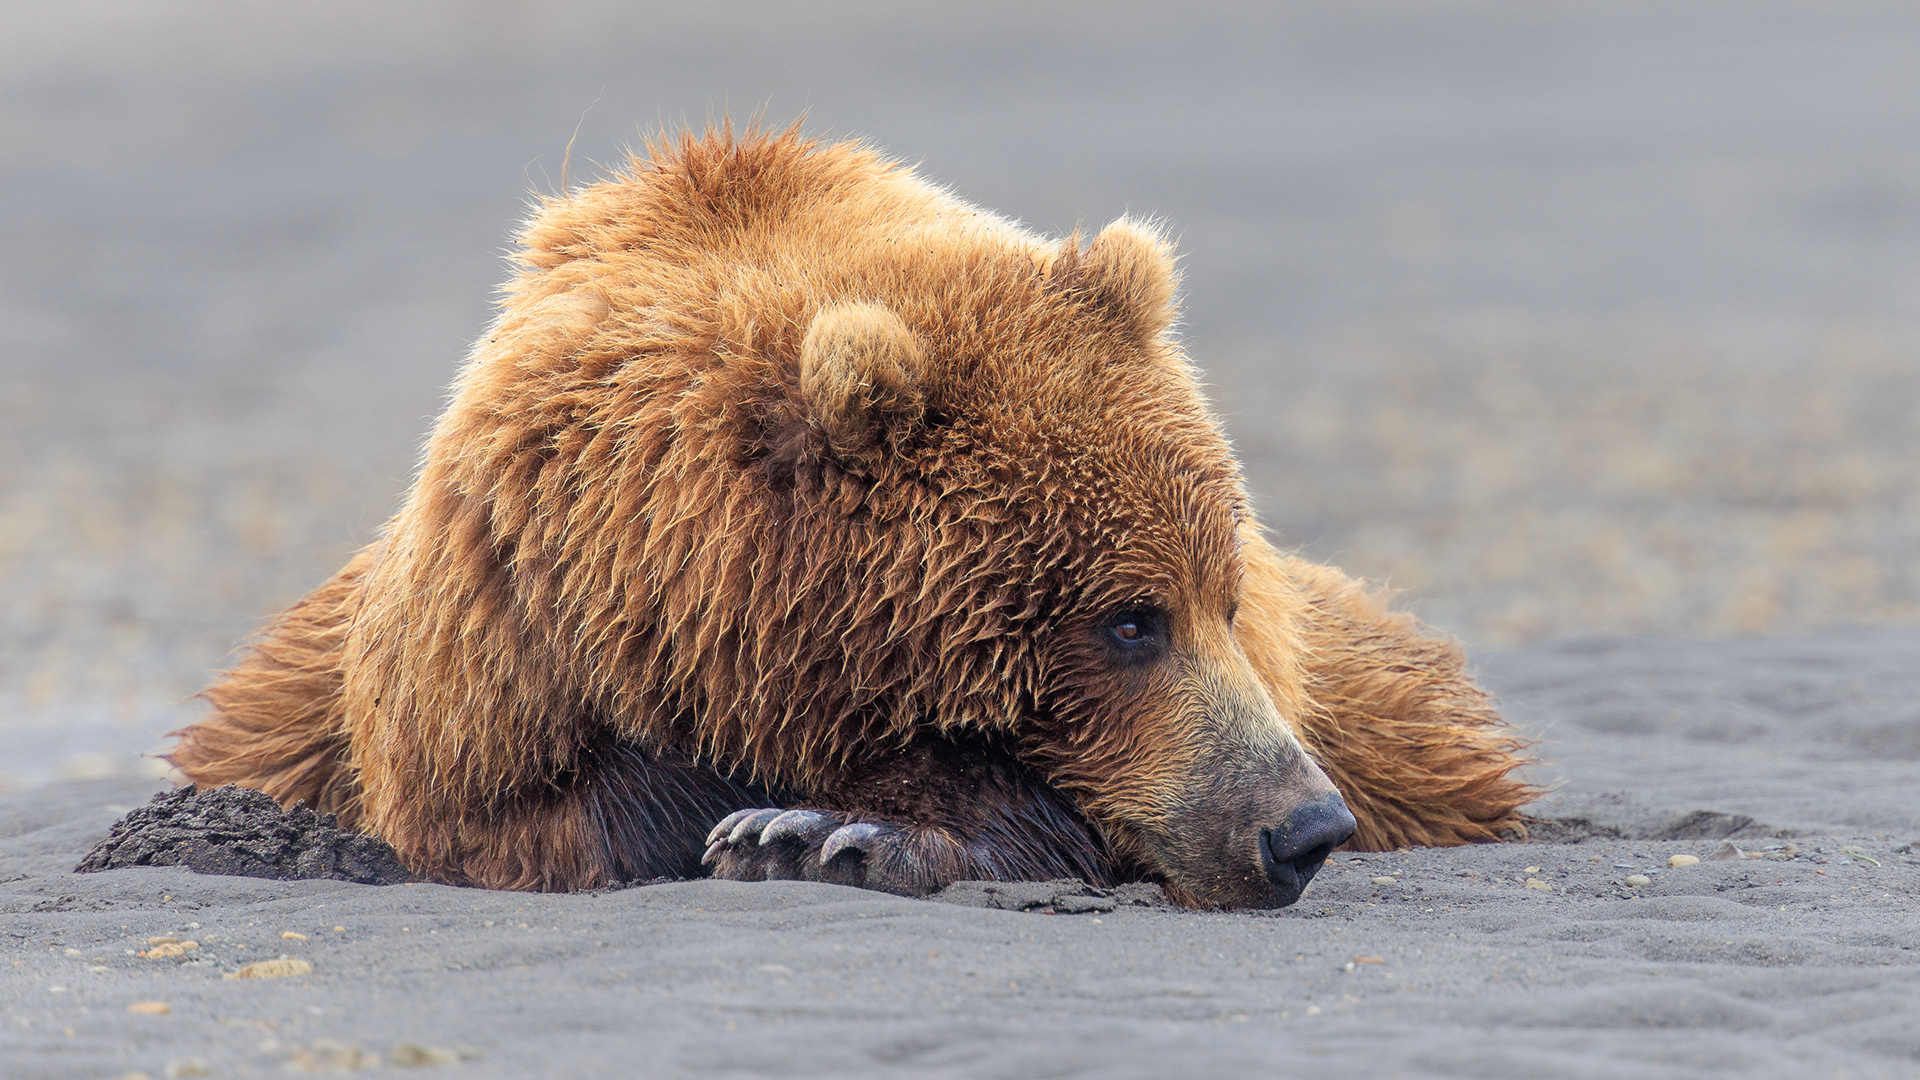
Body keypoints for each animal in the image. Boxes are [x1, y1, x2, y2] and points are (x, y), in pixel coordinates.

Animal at [169, 124, 1535, 910]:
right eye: (1130, 620)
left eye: (1224, 597)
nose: (1302, 827)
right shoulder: (499, 660)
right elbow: (549, 816)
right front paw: (793, 822)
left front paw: (832, 832)